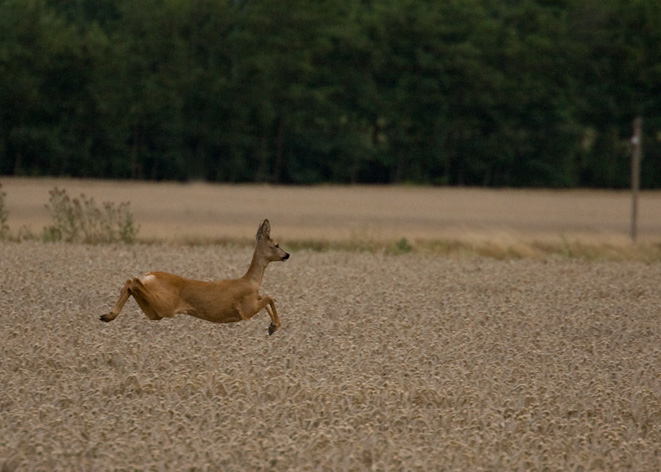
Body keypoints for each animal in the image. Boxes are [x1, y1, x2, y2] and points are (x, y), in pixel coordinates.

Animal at [100, 218, 288, 334]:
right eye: (276, 245)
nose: (287, 255)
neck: (251, 282)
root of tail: (150, 275)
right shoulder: (246, 309)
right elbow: (270, 297)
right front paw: (275, 326)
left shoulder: (252, 303)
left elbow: (266, 298)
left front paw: (271, 326)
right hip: (164, 305)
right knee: (132, 280)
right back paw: (108, 315)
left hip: (155, 311)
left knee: (131, 283)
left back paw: (107, 316)